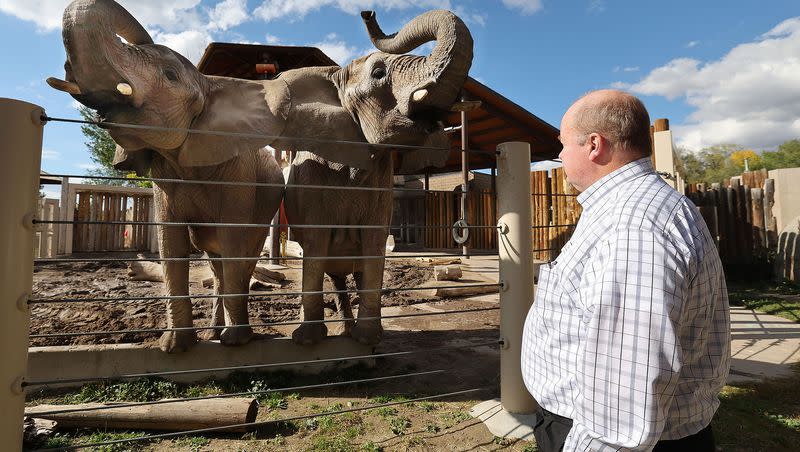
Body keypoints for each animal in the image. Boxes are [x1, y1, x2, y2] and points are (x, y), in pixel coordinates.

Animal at [48, 0, 476, 350]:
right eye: (379, 72)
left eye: (168, 75)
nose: (368, 12)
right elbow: (172, 246)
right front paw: (177, 348)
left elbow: (372, 246)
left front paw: (366, 341)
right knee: (224, 266)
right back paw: (221, 334)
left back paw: (339, 333)